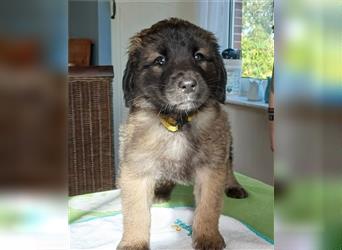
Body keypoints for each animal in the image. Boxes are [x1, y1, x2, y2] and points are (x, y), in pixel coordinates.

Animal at [117, 18, 246, 250]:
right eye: (160, 60)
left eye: (199, 56)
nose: (188, 84)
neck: (178, 122)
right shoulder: (136, 169)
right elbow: (135, 213)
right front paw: (134, 242)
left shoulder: (210, 168)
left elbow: (208, 208)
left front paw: (208, 237)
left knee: (229, 165)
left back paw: (233, 186)